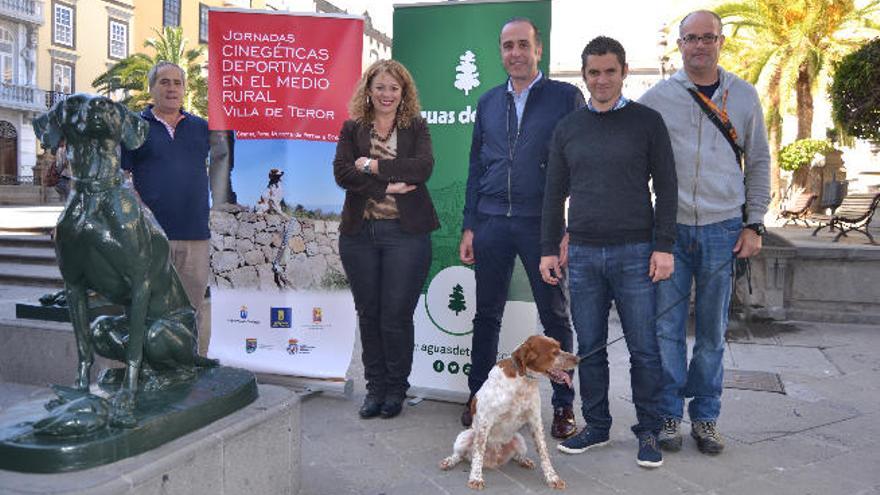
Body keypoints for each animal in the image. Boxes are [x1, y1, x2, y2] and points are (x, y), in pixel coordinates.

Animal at [440, 336, 576, 490]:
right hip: (465, 435)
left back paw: (525, 460)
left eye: (560, 347)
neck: (523, 380)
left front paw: (552, 478)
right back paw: (449, 461)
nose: (578, 359)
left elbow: (543, 452)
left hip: (519, 439)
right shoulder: (485, 422)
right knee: (460, 455)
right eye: (554, 352)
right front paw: (476, 477)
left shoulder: (535, 421)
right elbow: (478, 453)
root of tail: (493, 461)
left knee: (517, 456)